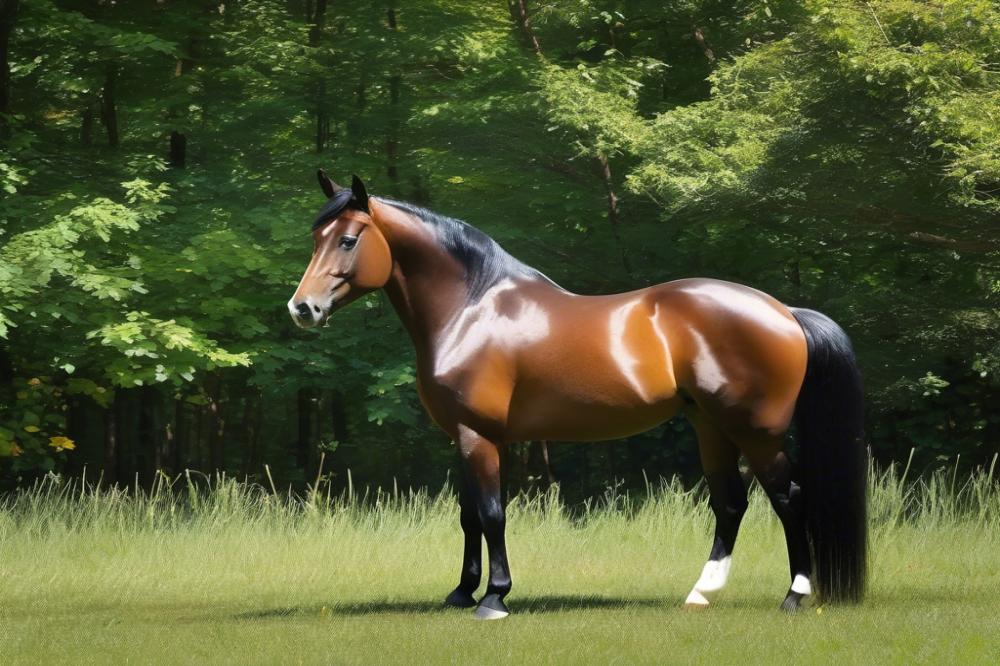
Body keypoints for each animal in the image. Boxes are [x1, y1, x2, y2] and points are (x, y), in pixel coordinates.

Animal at [288, 172, 868, 620]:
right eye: (317, 237)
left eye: (348, 240)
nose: (302, 308)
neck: (470, 309)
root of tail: (785, 311)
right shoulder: (467, 436)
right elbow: (470, 515)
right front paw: (460, 592)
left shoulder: (479, 435)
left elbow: (492, 513)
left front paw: (494, 599)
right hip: (711, 425)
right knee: (731, 503)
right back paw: (701, 593)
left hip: (755, 430)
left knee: (789, 497)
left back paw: (794, 596)